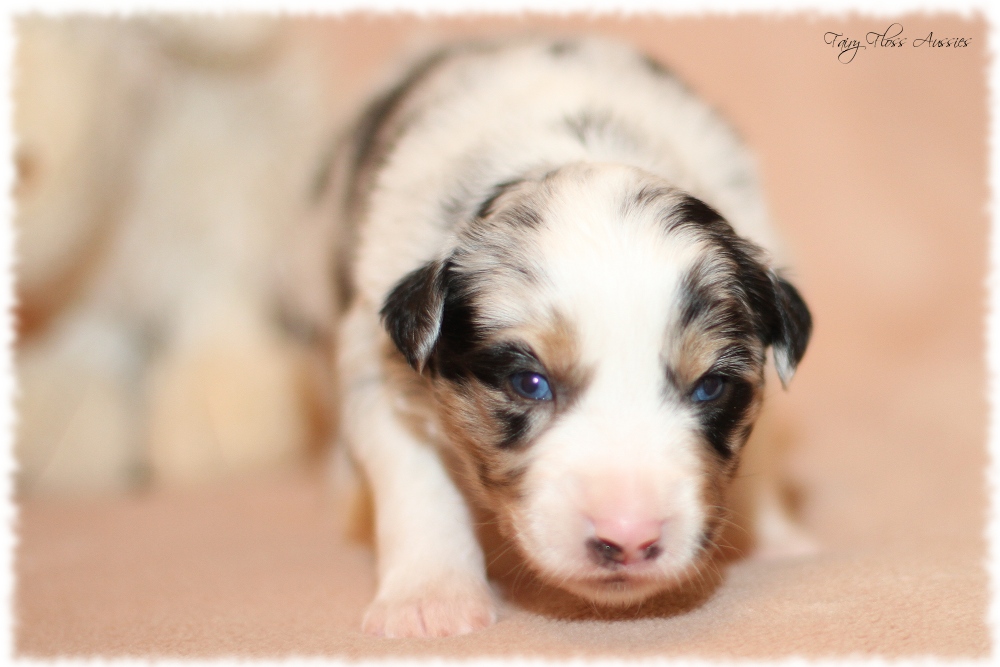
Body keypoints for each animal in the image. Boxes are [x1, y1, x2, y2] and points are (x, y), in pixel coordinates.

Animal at [328, 35, 812, 636]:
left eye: (710, 388)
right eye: (528, 382)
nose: (629, 538)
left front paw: (779, 538)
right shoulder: (375, 363)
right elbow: (417, 480)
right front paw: (430, 604)